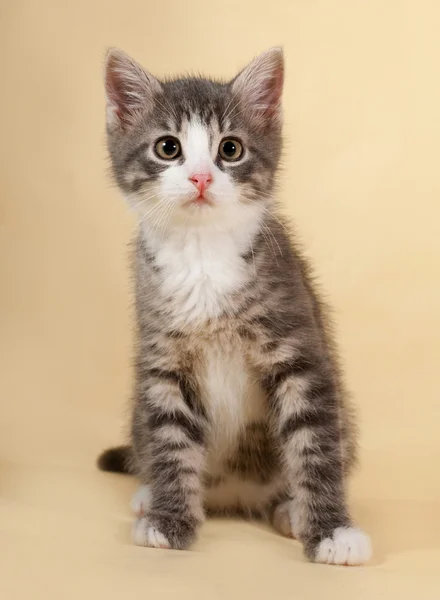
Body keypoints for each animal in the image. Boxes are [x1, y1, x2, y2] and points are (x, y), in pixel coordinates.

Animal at [97, 48, 372, 568]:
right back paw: (148, 493)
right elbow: (170, 440)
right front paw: (169, 518)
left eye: (230, 149)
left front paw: (332, 529)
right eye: (168, 148)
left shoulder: (300, 350)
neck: (203, 254)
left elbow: (314, 444)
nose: (202, 177)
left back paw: (290, 509)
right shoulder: (162, 360)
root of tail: (234, 496)